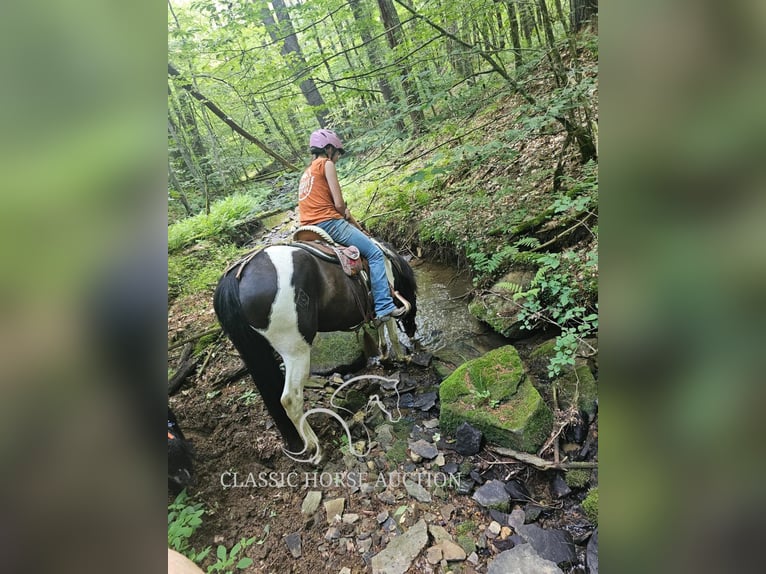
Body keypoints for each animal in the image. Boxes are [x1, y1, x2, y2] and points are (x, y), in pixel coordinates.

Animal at [214, 241, 420, 466]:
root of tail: (236, 279)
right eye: (414, 295)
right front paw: (402, 357)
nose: (413, 333)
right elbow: (391, 329)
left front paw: (384, 355)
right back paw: (315, 447)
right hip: (295, 350)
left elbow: (381, 326)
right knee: (290, 398)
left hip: (257, 352)